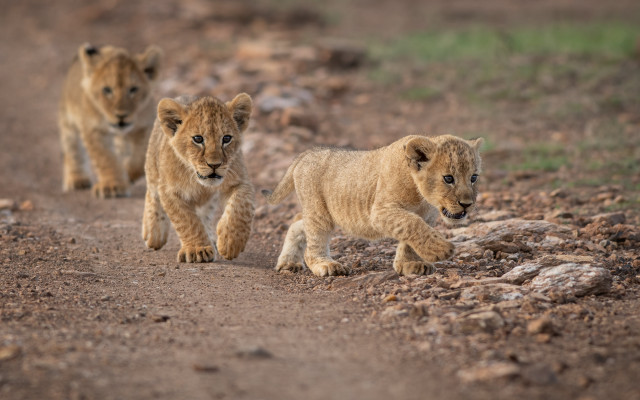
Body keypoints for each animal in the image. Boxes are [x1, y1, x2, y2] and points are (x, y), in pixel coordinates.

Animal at [58, 43, 163, 198]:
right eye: (107, 90)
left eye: (133, 89)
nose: (121, 116)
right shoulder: (94, 129)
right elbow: (105, 158)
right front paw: (112, 185)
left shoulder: (144, 126)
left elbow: (140, 156)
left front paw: (128, 173)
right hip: (68, 122)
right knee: (72, 150)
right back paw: (78, 179)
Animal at [142, 93, 255, 263]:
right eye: (198, 139)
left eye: (226, 138)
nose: (214, 165)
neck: (198, 181)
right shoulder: (169, 191)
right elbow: (187, 221)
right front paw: (198, 250)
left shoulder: (240, 181)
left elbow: (241, 205)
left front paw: (230, 242)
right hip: (153, 168)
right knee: (152, 193)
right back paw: (153, 232)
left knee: (205, 215)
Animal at [263, 134, 483, 276]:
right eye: (448, 178)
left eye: (473, 177)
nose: (467, 204)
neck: (422, 199)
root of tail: (308, 153)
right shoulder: (380, 211)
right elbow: (412, 224)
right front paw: (441, 249)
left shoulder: (426, 215)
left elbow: (411, 236)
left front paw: (410, 264)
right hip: (319, 212)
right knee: (313, 240)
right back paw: (326, 265)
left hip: (320, 213)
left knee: (298, 222)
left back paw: (288, 263)